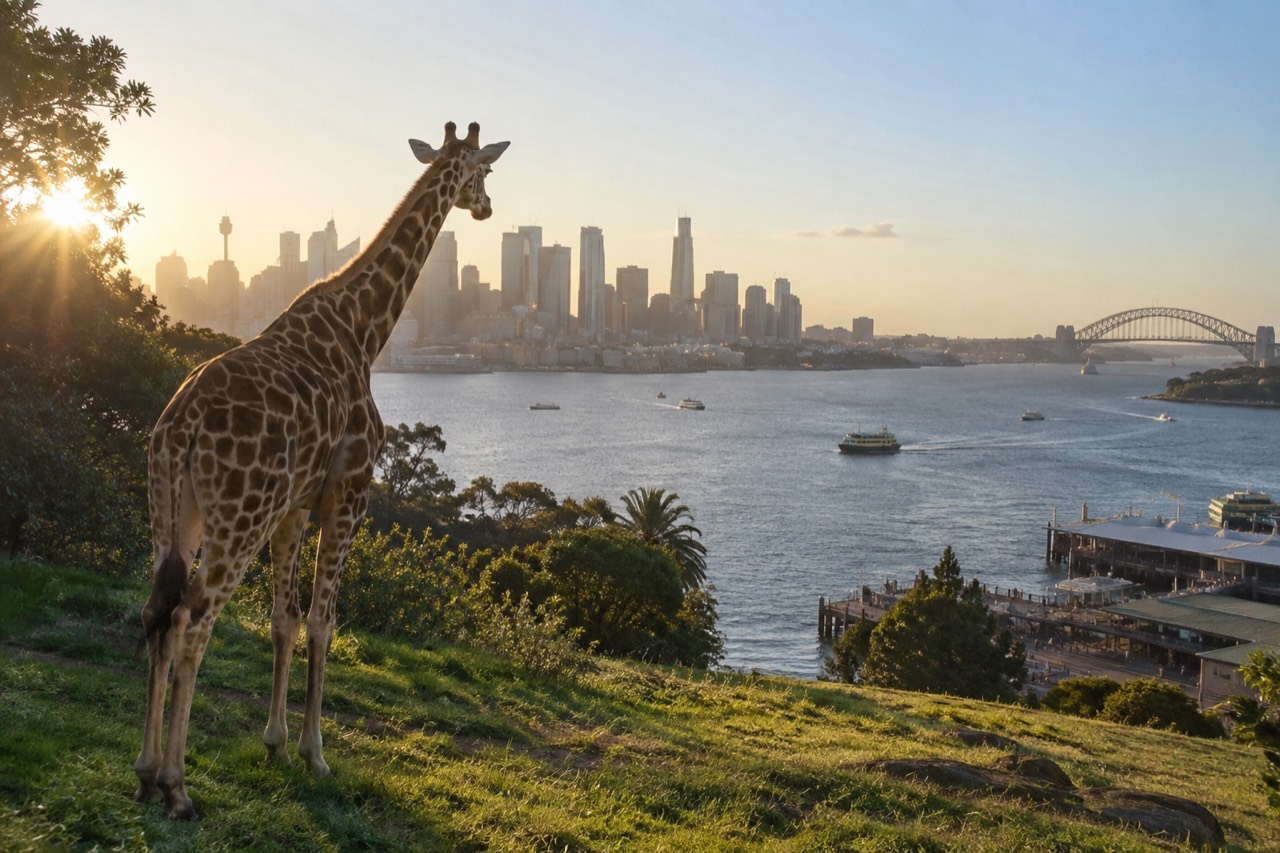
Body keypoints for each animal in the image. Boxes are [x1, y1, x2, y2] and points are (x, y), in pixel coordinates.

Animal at [134, 122, 509, 819]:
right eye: (484, 172)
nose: (487, 209)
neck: (366, 329)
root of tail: (181, 426)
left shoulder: (291, 509)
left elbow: (282, 622)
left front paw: (276, 745)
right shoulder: (347, 495)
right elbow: (322, 624)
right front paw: (315, 754)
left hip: (171, 510)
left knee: (157, 614)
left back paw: (145, 773)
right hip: (238, 517)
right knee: (194, 622)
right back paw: (177, 785)